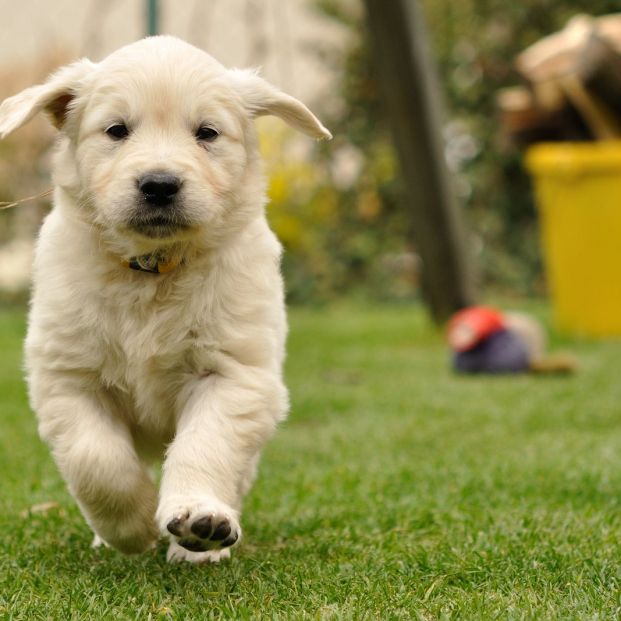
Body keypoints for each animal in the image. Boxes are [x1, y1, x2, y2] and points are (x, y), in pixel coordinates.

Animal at [0, 36, 330, 564]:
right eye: (116, 130)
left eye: (207, 133)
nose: (159, 184)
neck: (152, 271)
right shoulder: (68, 378)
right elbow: (97, 462)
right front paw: (130, 530)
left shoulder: (233, 374)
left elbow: (205, 444)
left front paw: (200, 521)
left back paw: (204, 544)